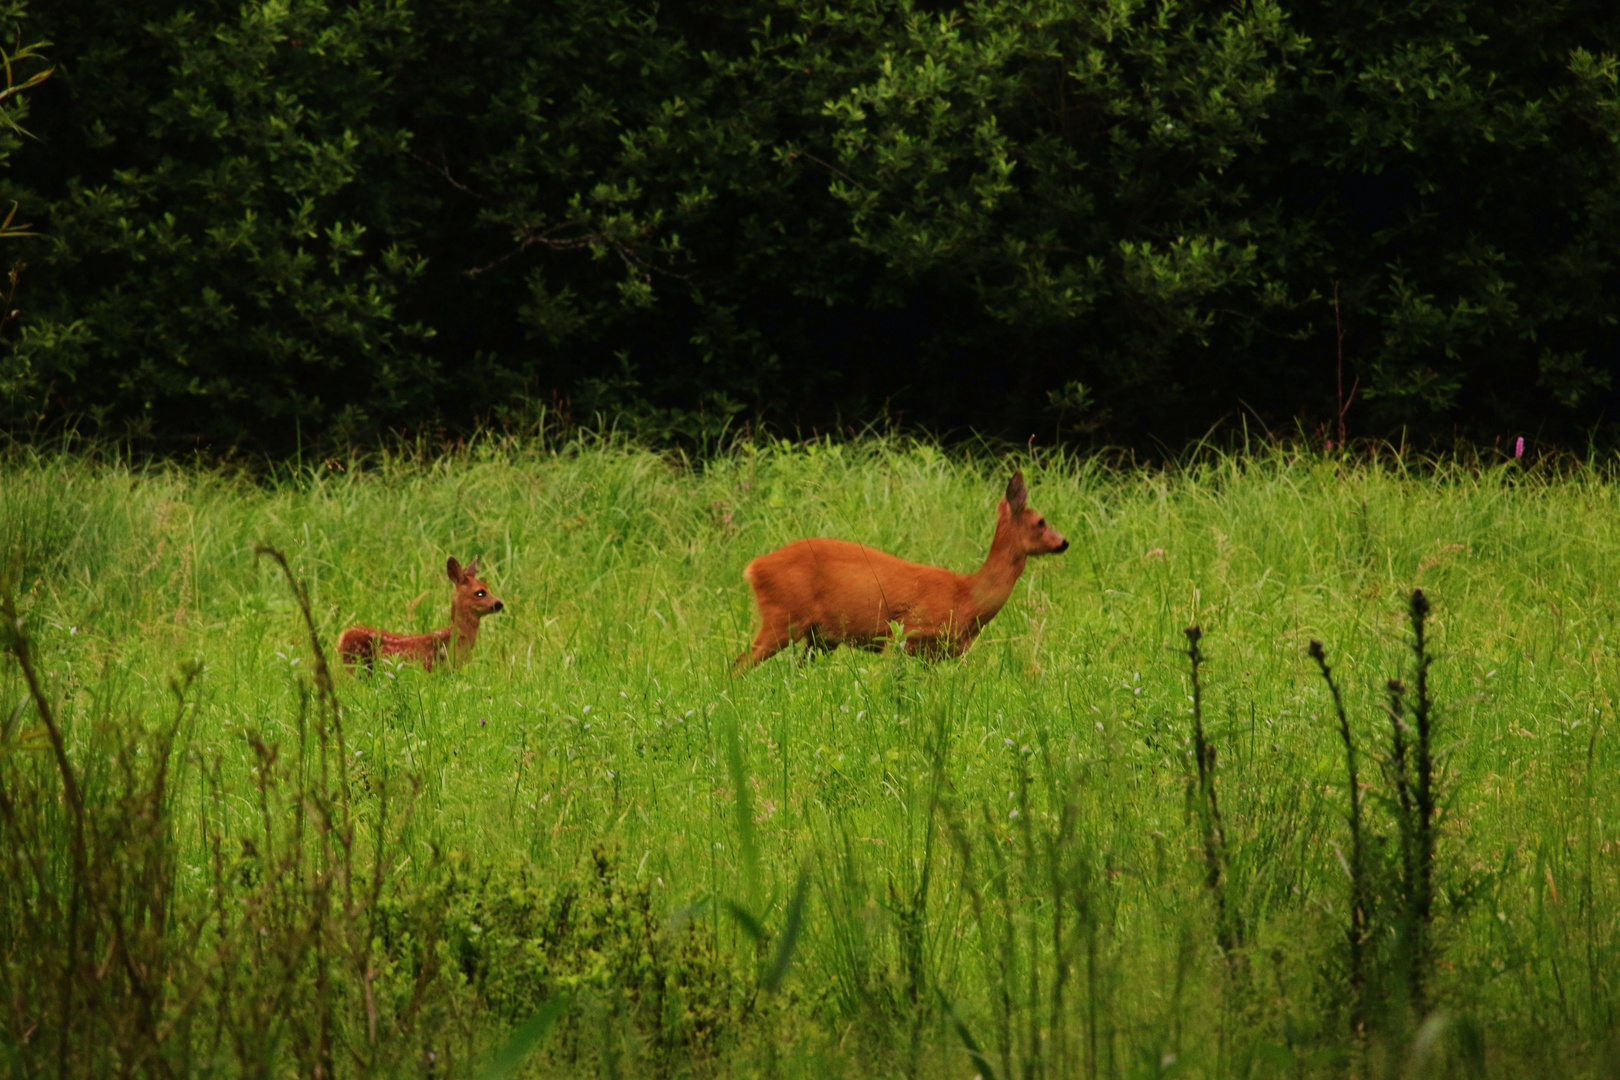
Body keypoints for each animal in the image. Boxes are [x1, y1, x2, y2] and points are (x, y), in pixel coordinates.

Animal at [735, 469, 1062, 667]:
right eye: (1040, 522)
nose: (1064, 542)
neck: (967, 596)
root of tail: (753, 568)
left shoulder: (935, 656)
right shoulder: (904, 633)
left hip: (819, 637)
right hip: (782, 616)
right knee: (739, 663)